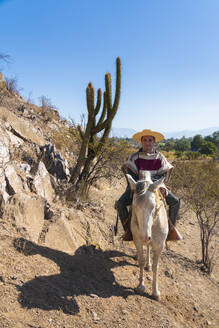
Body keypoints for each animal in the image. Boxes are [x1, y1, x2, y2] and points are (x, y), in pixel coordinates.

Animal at [126, 170, 169, 302]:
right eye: (134, 205)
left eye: (153, 206)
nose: (144, 237)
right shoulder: (138, 241)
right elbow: (141, 260)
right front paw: (140, 286)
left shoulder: (159, 246)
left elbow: (156, 266)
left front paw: (155, 292)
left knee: (149, 247)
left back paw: (148, 265)